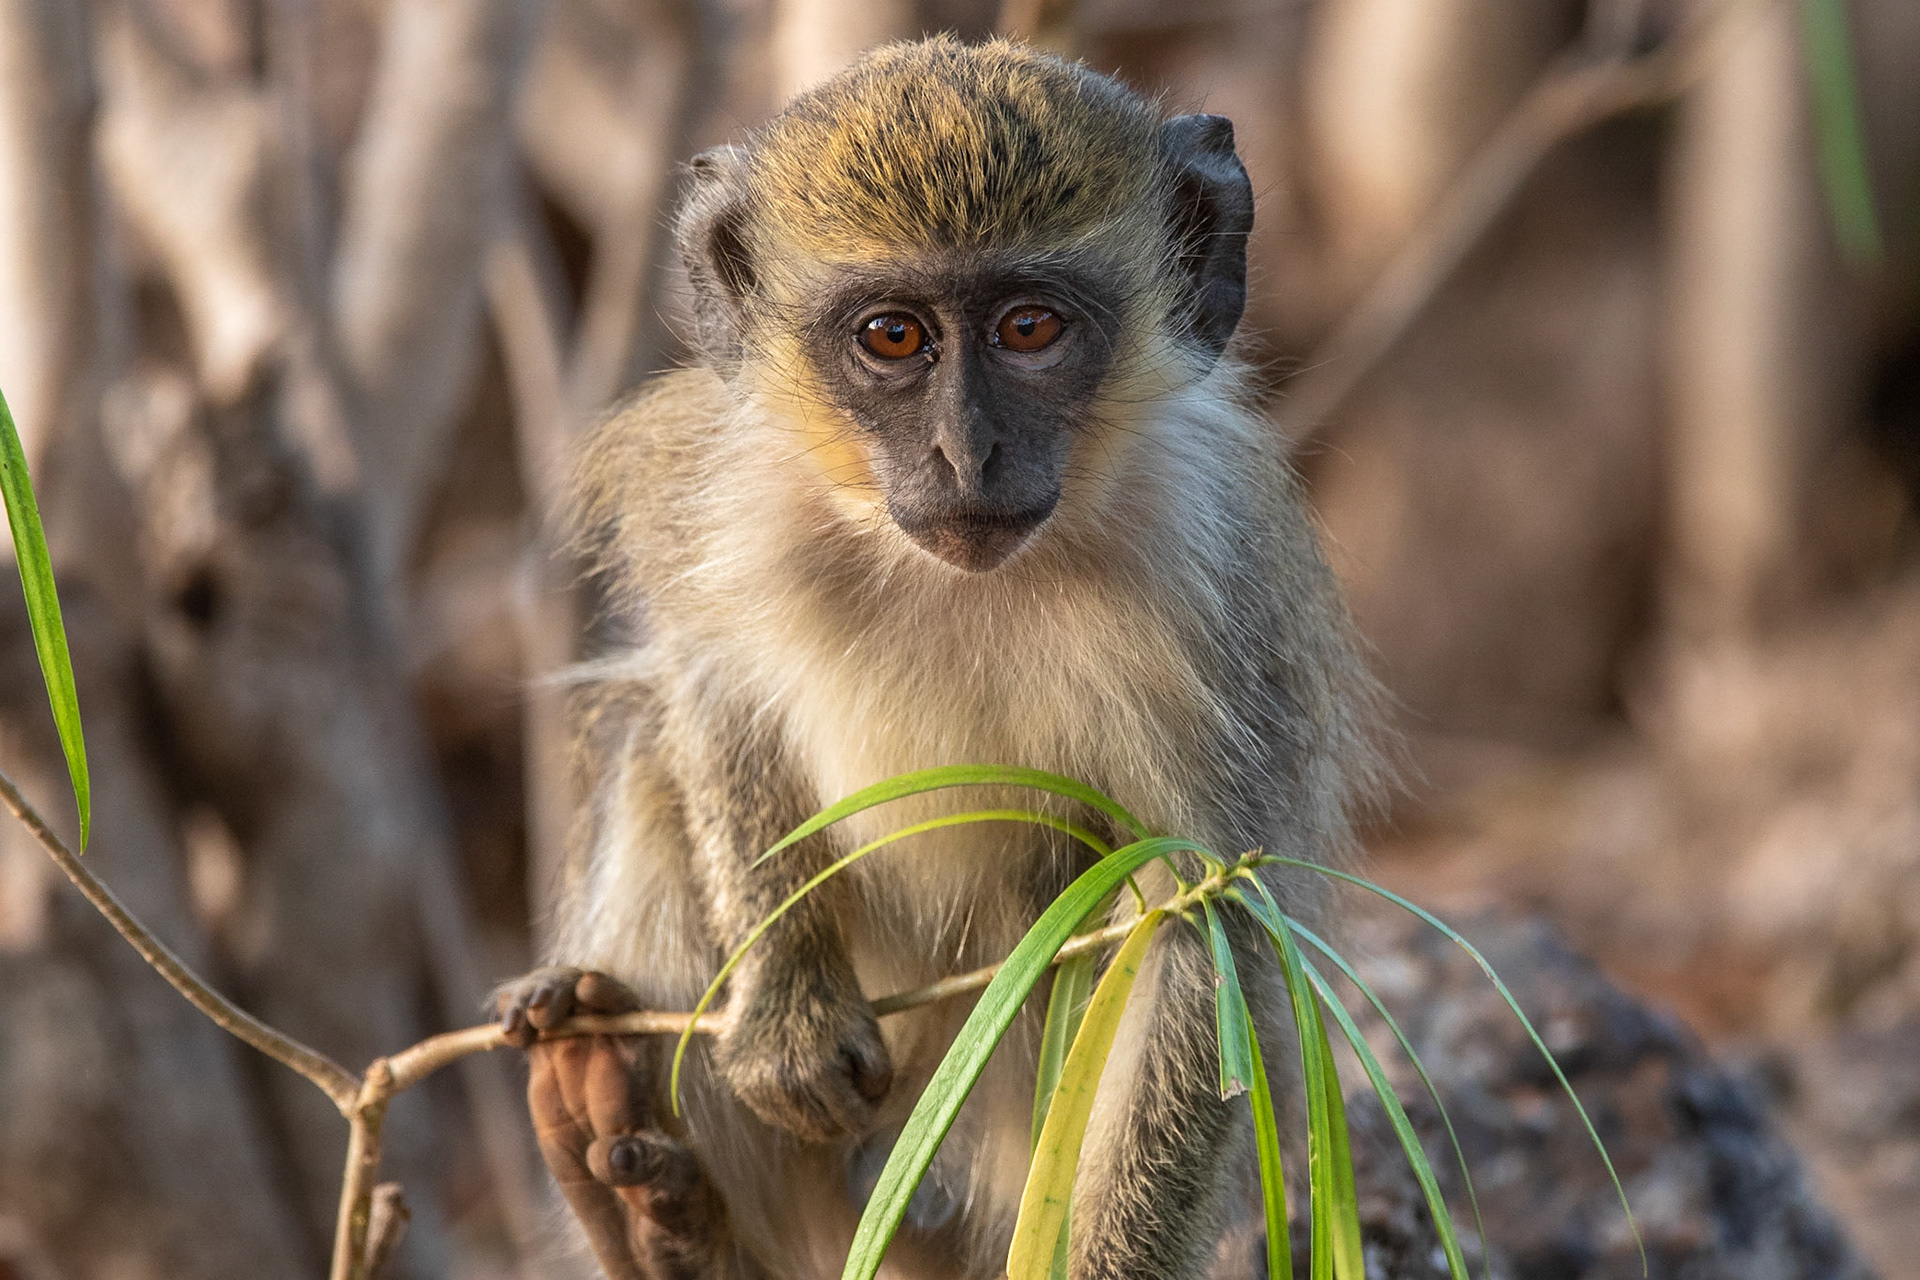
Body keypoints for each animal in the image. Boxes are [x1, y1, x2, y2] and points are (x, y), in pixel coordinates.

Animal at [496, 35, 1379, 1280]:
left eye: (1030, 329)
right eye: (893, 337)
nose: (968, 451)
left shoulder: (1209, 585)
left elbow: (1191, 923)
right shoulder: (725, 498)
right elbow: (710, 691)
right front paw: (788, 1006)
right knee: (649, 756)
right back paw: (642, 1185)